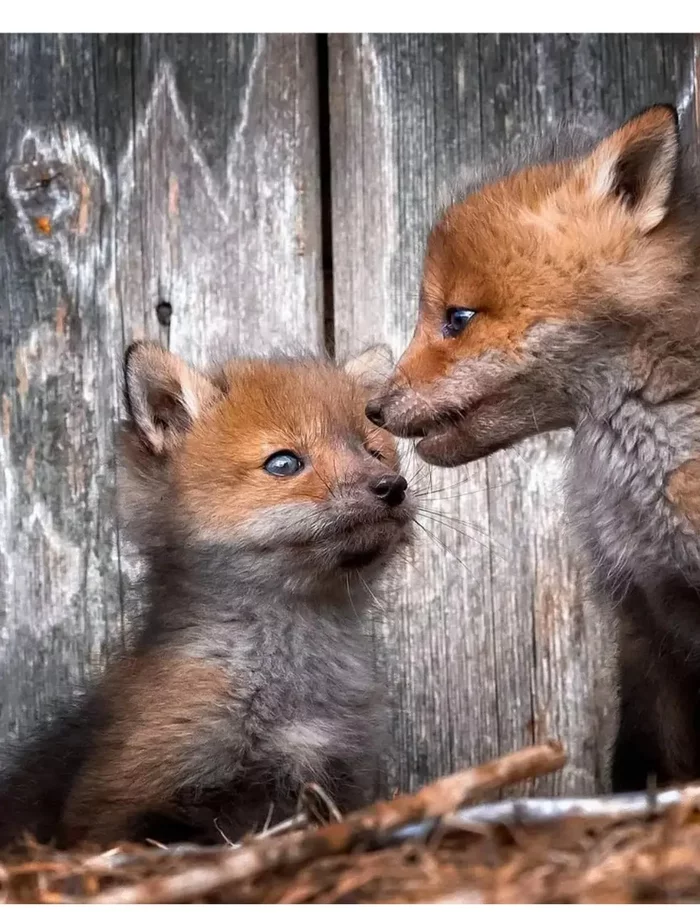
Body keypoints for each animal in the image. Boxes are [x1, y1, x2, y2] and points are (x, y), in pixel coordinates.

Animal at [0, 340, 413, 847]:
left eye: (375, 453)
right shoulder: (120, 802)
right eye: (284, 463)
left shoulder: (339, 779)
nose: (393, 487)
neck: (288, 687)